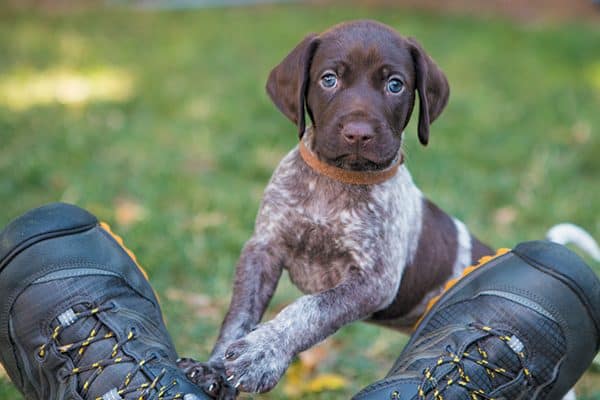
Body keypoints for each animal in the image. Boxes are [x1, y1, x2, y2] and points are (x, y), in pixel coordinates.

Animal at [182, 19, 492, 396]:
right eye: (329, 79)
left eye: (395, 85)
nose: (358, 133)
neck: (335, 183)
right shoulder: (263, 248)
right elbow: (238, 316)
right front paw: (214, 370)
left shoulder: (374, 281)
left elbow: (311, 309)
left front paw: (262, 353)